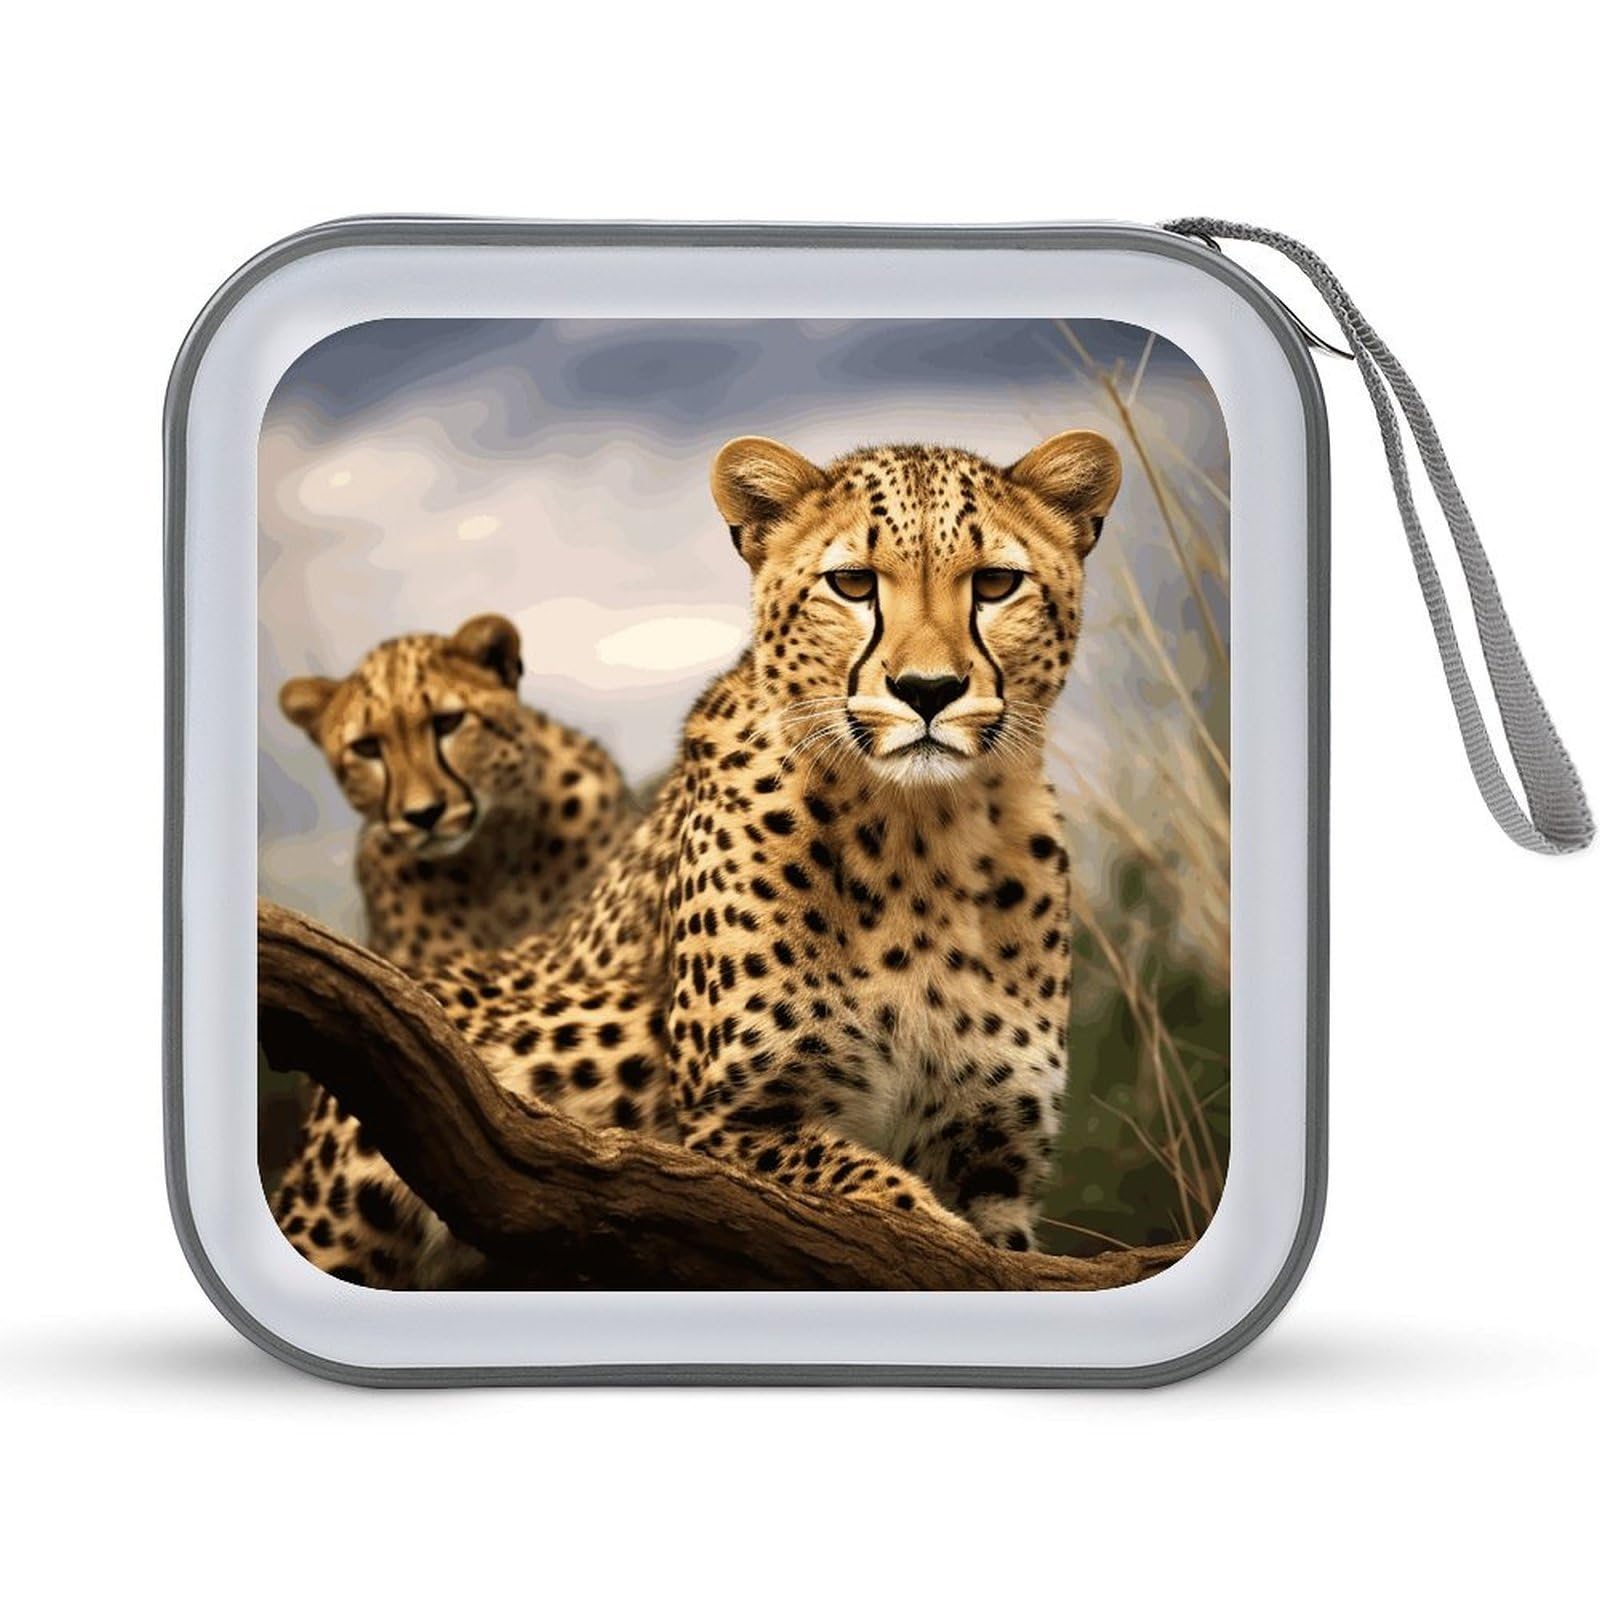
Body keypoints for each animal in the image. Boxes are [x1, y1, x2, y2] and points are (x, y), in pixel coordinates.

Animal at [274, 429, 1121, 1285]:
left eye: (996, 584)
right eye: (851, 584)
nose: (927, 689)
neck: (922, 835)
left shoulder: (995, 1163)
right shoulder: (728, 1129)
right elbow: (885, 1206)